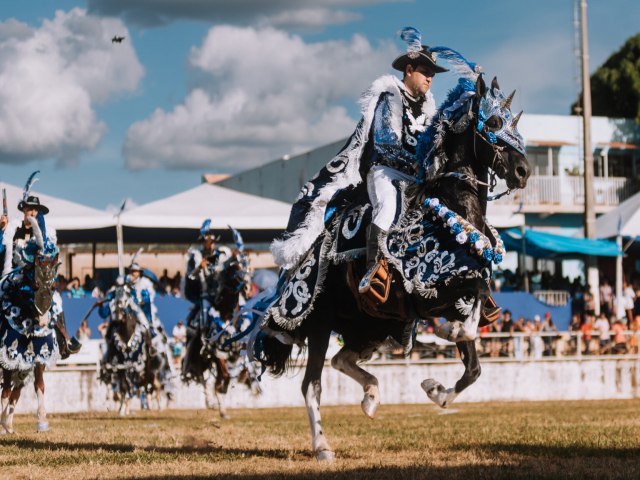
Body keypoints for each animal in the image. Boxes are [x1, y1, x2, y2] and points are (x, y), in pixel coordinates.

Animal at [255, 70, 528, 458]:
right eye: (492, 123)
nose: (523, 171)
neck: (450, 215)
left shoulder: (458, 297)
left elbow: (474, 363)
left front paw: (435, 390)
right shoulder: (431, 291)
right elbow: (470, 318)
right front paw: (445, 334)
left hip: (370, 326)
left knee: (342, 360)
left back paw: (371, 398)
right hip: (320, 323)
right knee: (312, 385)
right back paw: (322, 445)